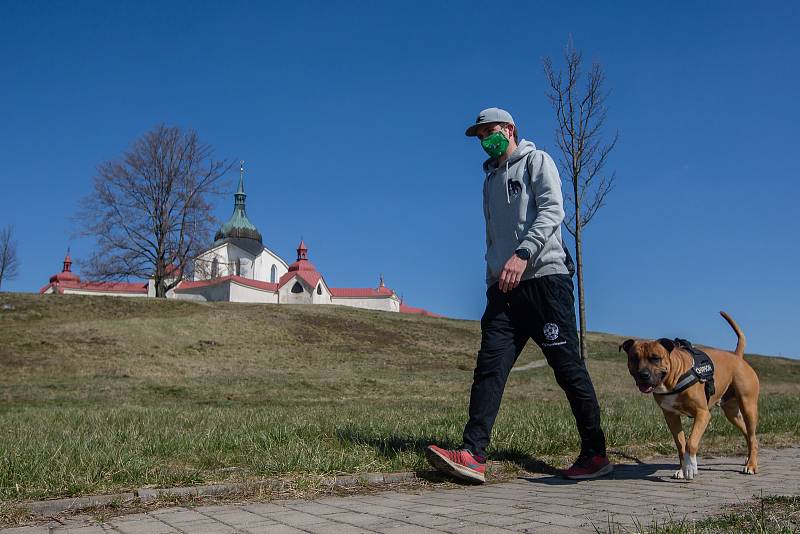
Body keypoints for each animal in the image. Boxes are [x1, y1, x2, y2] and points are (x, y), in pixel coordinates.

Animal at [620, 310, 760, 482]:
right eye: (634, 358)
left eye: (655, 358)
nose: (643, 375)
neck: (674, 377)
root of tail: (737, 356)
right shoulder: (671, 416)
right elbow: (680, 443)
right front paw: (683, 468)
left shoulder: (702, 414)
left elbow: (691, 442)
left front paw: (690, 467)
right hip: (731, 412)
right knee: (747, 434)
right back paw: (748, 459)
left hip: (748, 407)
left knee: (753, 437)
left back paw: (751, 465)